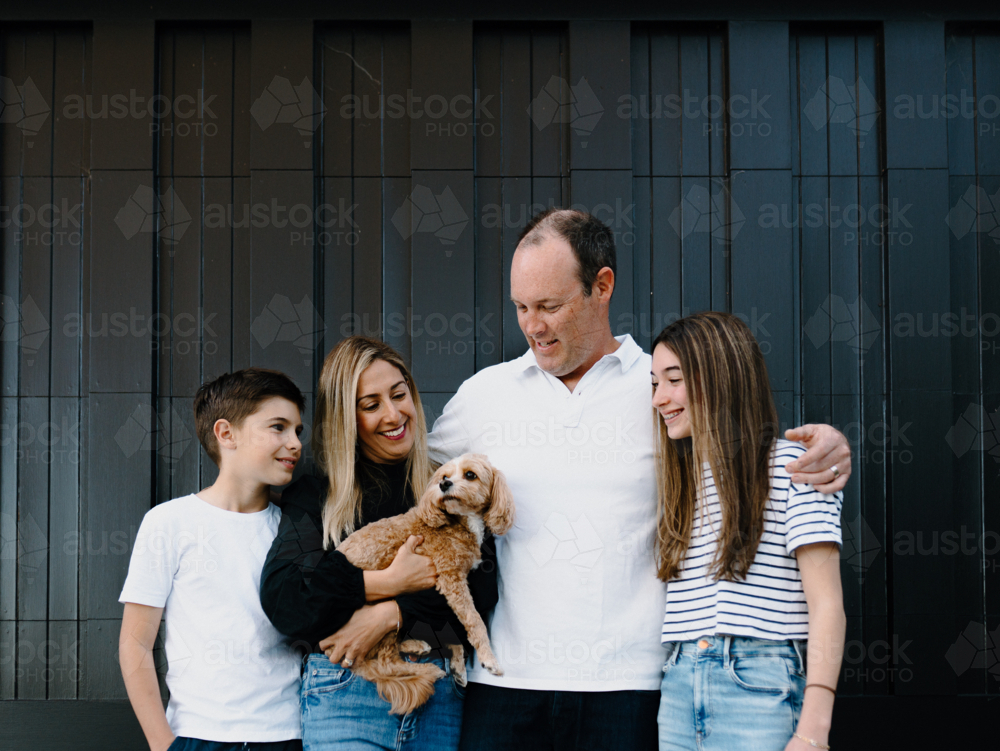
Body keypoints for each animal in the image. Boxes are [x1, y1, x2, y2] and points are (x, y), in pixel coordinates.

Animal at [338, 456, 516, 712]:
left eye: (470, 475)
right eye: (444, 476)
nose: (444, 485)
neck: (458, 521)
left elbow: (453, 626)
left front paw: (459, 664)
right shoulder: (451, 578)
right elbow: (474, 621)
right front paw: (488, 659)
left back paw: (415, 646)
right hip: (381, 611)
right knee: (386, 662)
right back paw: (427, 668)